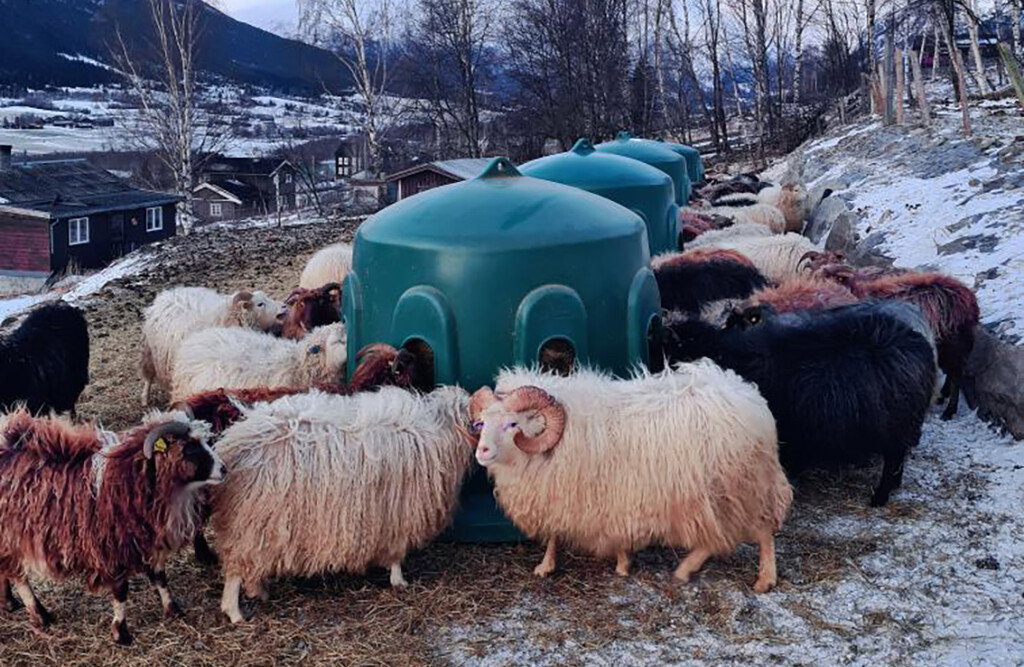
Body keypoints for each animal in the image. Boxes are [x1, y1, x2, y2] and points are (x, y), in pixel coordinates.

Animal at [0, 409, 224, 644]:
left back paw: (9, 603)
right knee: (18, 576)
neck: (129, 478)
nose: (224, 469)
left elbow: (160, 578)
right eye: (190, 448)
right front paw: (121, 632)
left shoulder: (149, 541)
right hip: (11, 535)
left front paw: (172, 609)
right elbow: (120, 591)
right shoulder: (111, 548)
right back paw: (40, 614)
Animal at [140, 287, 283, 406]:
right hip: (150, 353)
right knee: (148, 377)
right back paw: (145, 399)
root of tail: (166, 294)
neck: (225, 319)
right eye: (260, 304)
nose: (283, 306)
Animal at [211, 386, 474, 622]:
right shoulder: (398, 515)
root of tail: (238, 441)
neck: (439, 433)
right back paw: (234, 612)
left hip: (259, 522)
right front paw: (399, 581)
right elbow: (396, 554)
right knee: (235, 568)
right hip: (253, 518)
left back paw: (259, 591)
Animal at [469, 363, 792, 591]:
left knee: (759, 531)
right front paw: (545, 566)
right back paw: (687, 570)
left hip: (740, 487)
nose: (482, 452)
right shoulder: (562, 494)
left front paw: (622, 565)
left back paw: (761, 579)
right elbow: (554, 533)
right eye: (482, 422)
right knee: (720, 537)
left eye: (513, 424)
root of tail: (751, 398)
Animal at [816, 266, 979, 420]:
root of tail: (970, 300)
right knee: (950, 373)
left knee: (956, 376)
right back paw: (942, 396)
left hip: (953, 346)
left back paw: (949, 411)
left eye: (832, 280)